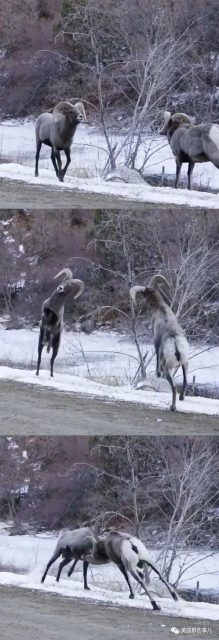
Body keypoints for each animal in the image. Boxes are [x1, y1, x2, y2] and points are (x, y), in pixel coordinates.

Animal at [129, 276, 189, 410]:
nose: (139, 307)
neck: (161, 309)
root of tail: (176, 347)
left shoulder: (156, 343)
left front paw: (157, 374)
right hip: (185, 364)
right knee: (185, 380)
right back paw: (181, 398)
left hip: (168, 369)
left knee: (173, 386)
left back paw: (173, 407)